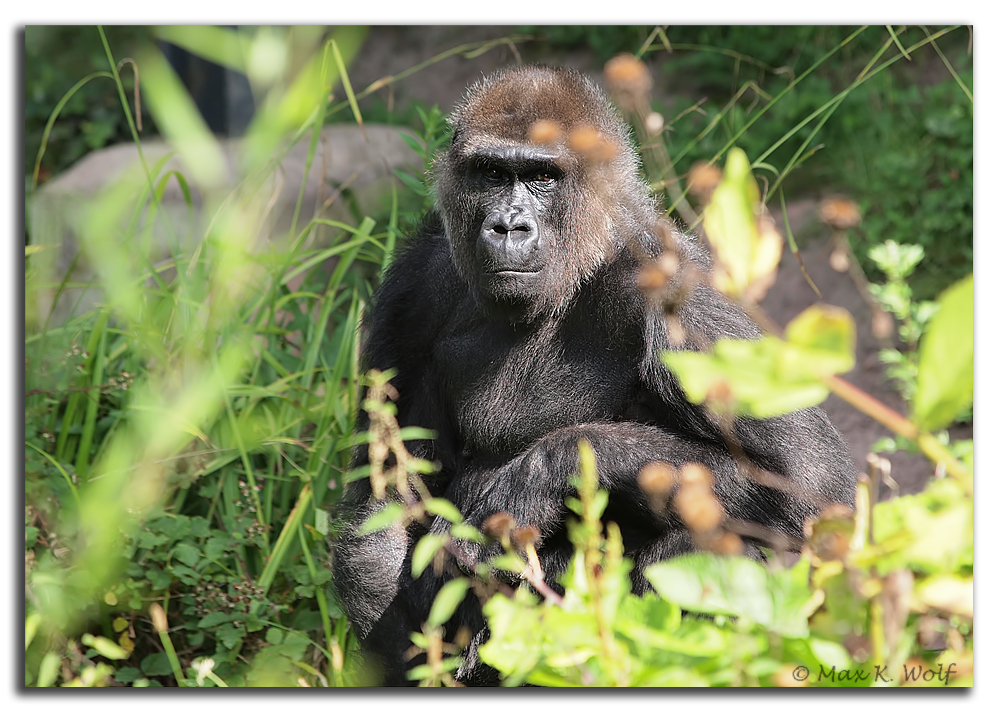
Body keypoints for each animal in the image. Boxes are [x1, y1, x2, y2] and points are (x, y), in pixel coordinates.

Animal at [332, 65, 856, 684]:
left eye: (542, 176)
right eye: (492, 173)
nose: (508, 226)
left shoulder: (673, 284)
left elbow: (807, 477)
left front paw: (533, 478)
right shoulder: (412, 286)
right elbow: (382, 499)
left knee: (712, 542)